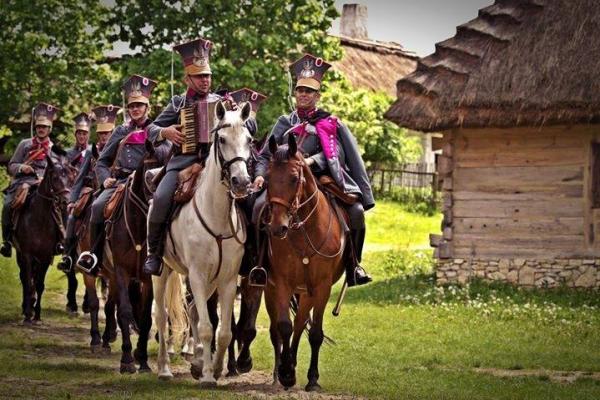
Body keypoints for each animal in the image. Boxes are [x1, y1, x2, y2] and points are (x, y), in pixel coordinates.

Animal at [12, 148, 74, 324]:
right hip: (20, 254)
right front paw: (27, 313)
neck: (39, 219)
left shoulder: (46, 257)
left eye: (71, 179)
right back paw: (25, 306)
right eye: (55, 178)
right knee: (25, 278)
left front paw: (37, 314)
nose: (66, 202)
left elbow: (39, 284)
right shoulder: (26, 254)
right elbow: (27, 282)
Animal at [152, 101, 253, 386]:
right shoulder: (196, 275)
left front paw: (214, 368)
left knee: (193, 310)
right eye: (222, 139)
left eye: (249, 139)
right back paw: (164, 369)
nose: (241, 182)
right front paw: (208, 375)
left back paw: (196, 358)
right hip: (162, 272)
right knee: (162, 316)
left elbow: (224, 331)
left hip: (207, 283)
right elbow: (208, 328)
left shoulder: (227, 280)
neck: (216, 215)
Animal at [264, 134, 344, 390]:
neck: (304, 232)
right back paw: (281, 371)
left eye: (294, 178)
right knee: (279, 330)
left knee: (300, 323)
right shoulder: (281, 283)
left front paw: (312, 379)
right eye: (267, 178)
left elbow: (315, 333)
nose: (277, 228)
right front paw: (286, 372)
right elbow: (284, 326)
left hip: (307, 292)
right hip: (272, 289)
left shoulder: (321, 286)